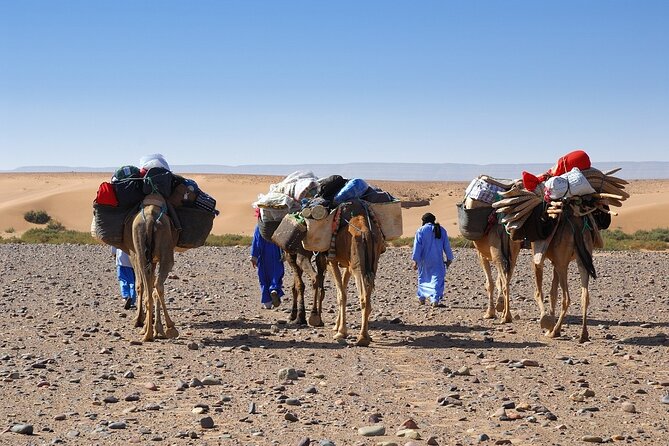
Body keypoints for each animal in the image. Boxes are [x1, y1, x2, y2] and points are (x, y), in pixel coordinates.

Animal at [123, 193, 179, 342]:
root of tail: (149, 218)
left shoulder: (144, 257)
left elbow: (144, 284)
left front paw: (148, 325)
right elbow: (152, 285)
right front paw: (157, 327)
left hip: (139, 246)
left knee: (148, 288)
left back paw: (147, 333)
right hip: (165, 250)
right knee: (158, 286)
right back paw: (169, 327)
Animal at [327, 200, 386, 346]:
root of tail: (366, 232)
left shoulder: (331, 260)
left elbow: (341, 294)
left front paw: (341, 331)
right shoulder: (347, 265)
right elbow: (342, 291)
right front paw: (337, 326)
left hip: (358, 266)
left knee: (363, 297)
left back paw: (362, 338)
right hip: (372, 262)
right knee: (368, 296)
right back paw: (366, 336)